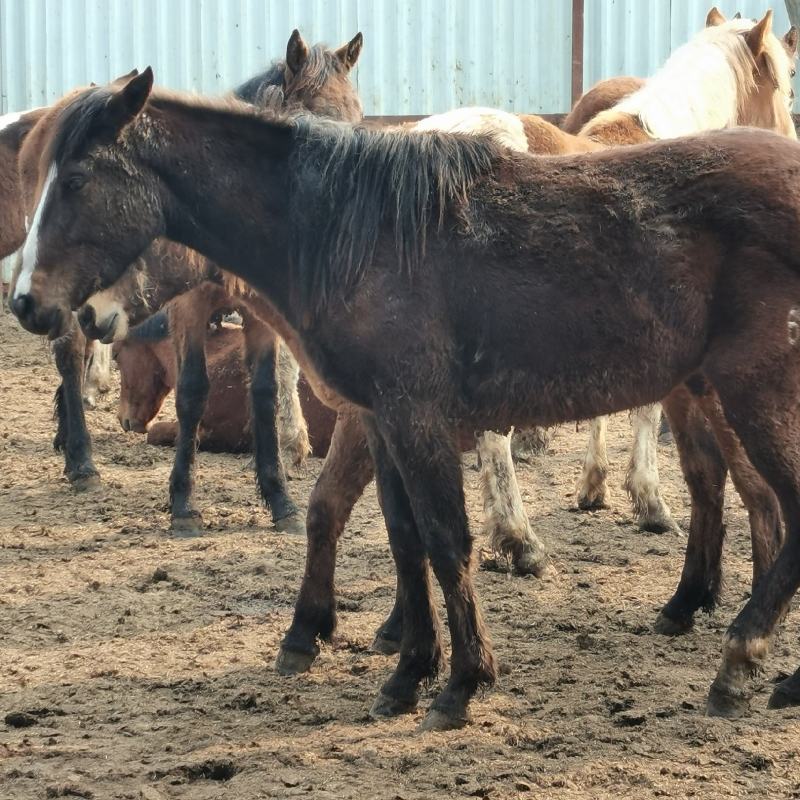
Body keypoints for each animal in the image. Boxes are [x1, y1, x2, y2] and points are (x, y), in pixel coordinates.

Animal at [15, 65, 800, 729]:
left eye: (77, 179)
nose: (29, 302)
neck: (356, 236)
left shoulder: (416, 419)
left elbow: (446, 541)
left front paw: (461, 683)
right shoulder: (383, 421)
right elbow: (403, 538)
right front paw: (408, 670)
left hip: (755, 397)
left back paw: (739, 661)